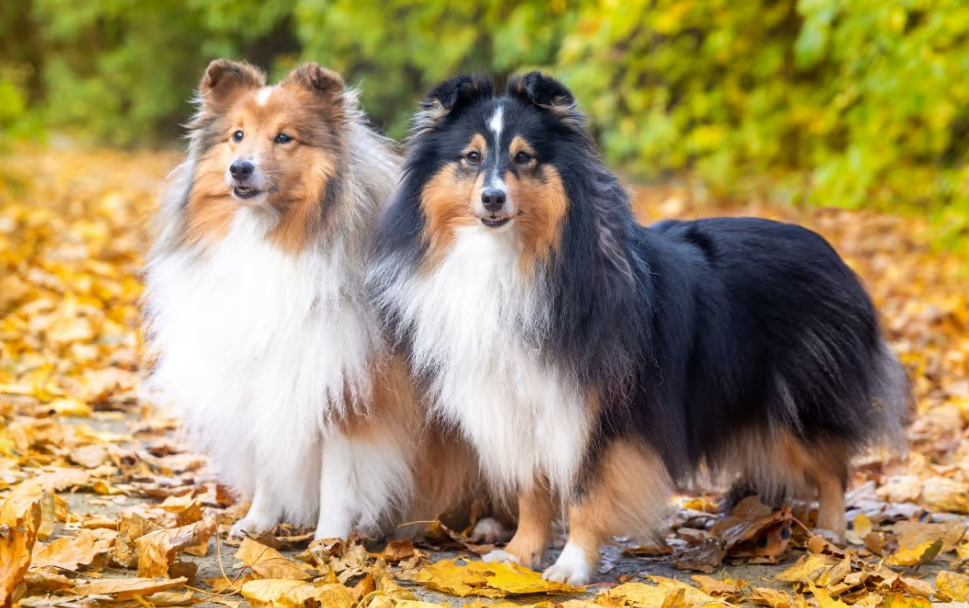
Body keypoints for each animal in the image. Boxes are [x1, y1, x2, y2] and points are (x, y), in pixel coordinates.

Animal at [143, 59, 476, 540]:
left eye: (284, 137)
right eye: (237, 135)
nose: (240, 169)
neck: (269, 237)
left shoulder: (347, 387)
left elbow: (338, 478)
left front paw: (330, 541)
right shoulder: (269, 379)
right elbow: (269, 460)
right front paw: (258, 522)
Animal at [364, 71, 908, 584]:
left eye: (524, 158)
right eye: (471, 157)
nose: (493, 199)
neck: (518, 260)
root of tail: (831, 252)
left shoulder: (600, 412)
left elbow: (586, 494)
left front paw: (571, 566)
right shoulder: (522, 402)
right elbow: (533, 491)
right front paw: (519, 557)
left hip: (801, 403)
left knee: (833, 468)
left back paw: (831, 537)